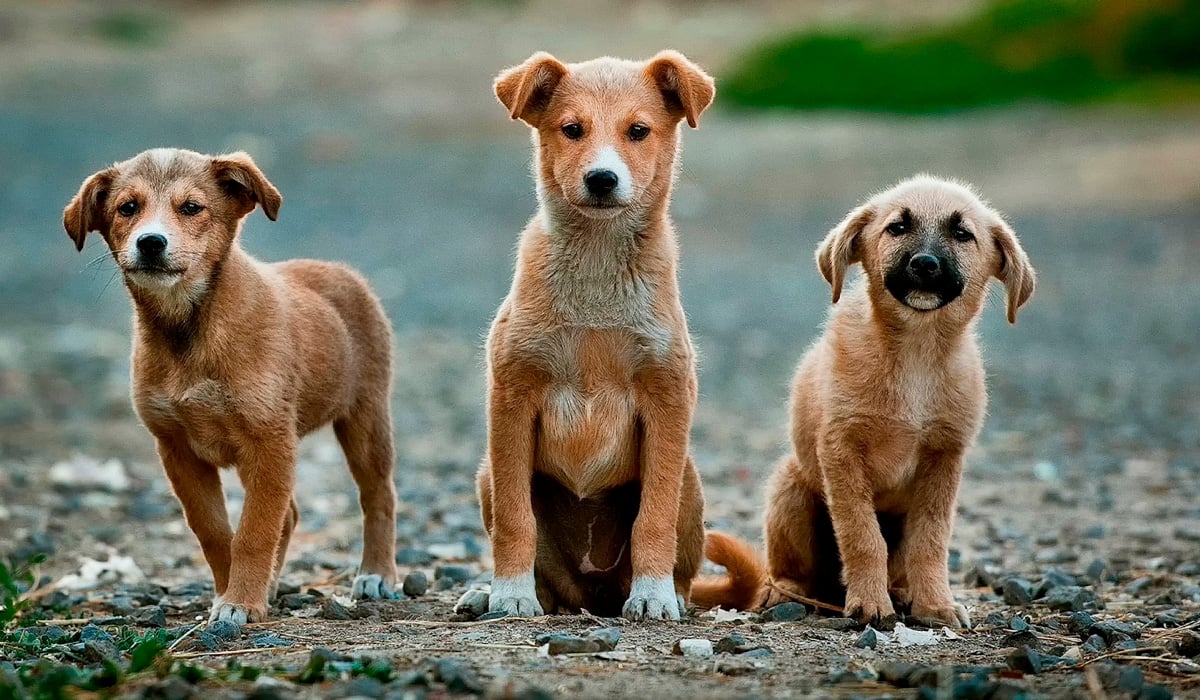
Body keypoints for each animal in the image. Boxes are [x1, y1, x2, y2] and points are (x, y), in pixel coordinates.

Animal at [63, 147, 400, 624]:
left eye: (191, 208)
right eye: (127, 208)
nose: (151, 243)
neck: (189, 329)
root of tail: (339, 270)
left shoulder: (269, 441)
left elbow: (254, 531)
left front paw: (240, 601)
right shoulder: (178, 449)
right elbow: (216, 532)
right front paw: (232, 594)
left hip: (365, 418)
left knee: (378, 496)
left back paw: (376, 574)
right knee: (290, 514)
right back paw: (272, 585)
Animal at [451, 50, 710, 619]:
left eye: (638, 131)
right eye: (572, 129)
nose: (601, 179)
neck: (596, 265)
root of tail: (592, 595)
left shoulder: (667, 396)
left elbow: (653, 517)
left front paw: (653, 596)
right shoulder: (512, 396)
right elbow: (515, 519)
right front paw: (510, 593)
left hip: (690, 478)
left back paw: (665, 595)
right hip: (486, 475)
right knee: (546, 576)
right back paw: (488, 593)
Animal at [691, 176, 1036, 629]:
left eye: (962, 234)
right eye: (897, 228)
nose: (925, 264)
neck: (915, 353)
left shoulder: (944, 458)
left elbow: (931, 540)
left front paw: (934, 604)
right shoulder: (841, 451)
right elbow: (862, 536)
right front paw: (870, 604)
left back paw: (902, 593)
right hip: (790, 488)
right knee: (789, 570)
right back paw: (786, 593)